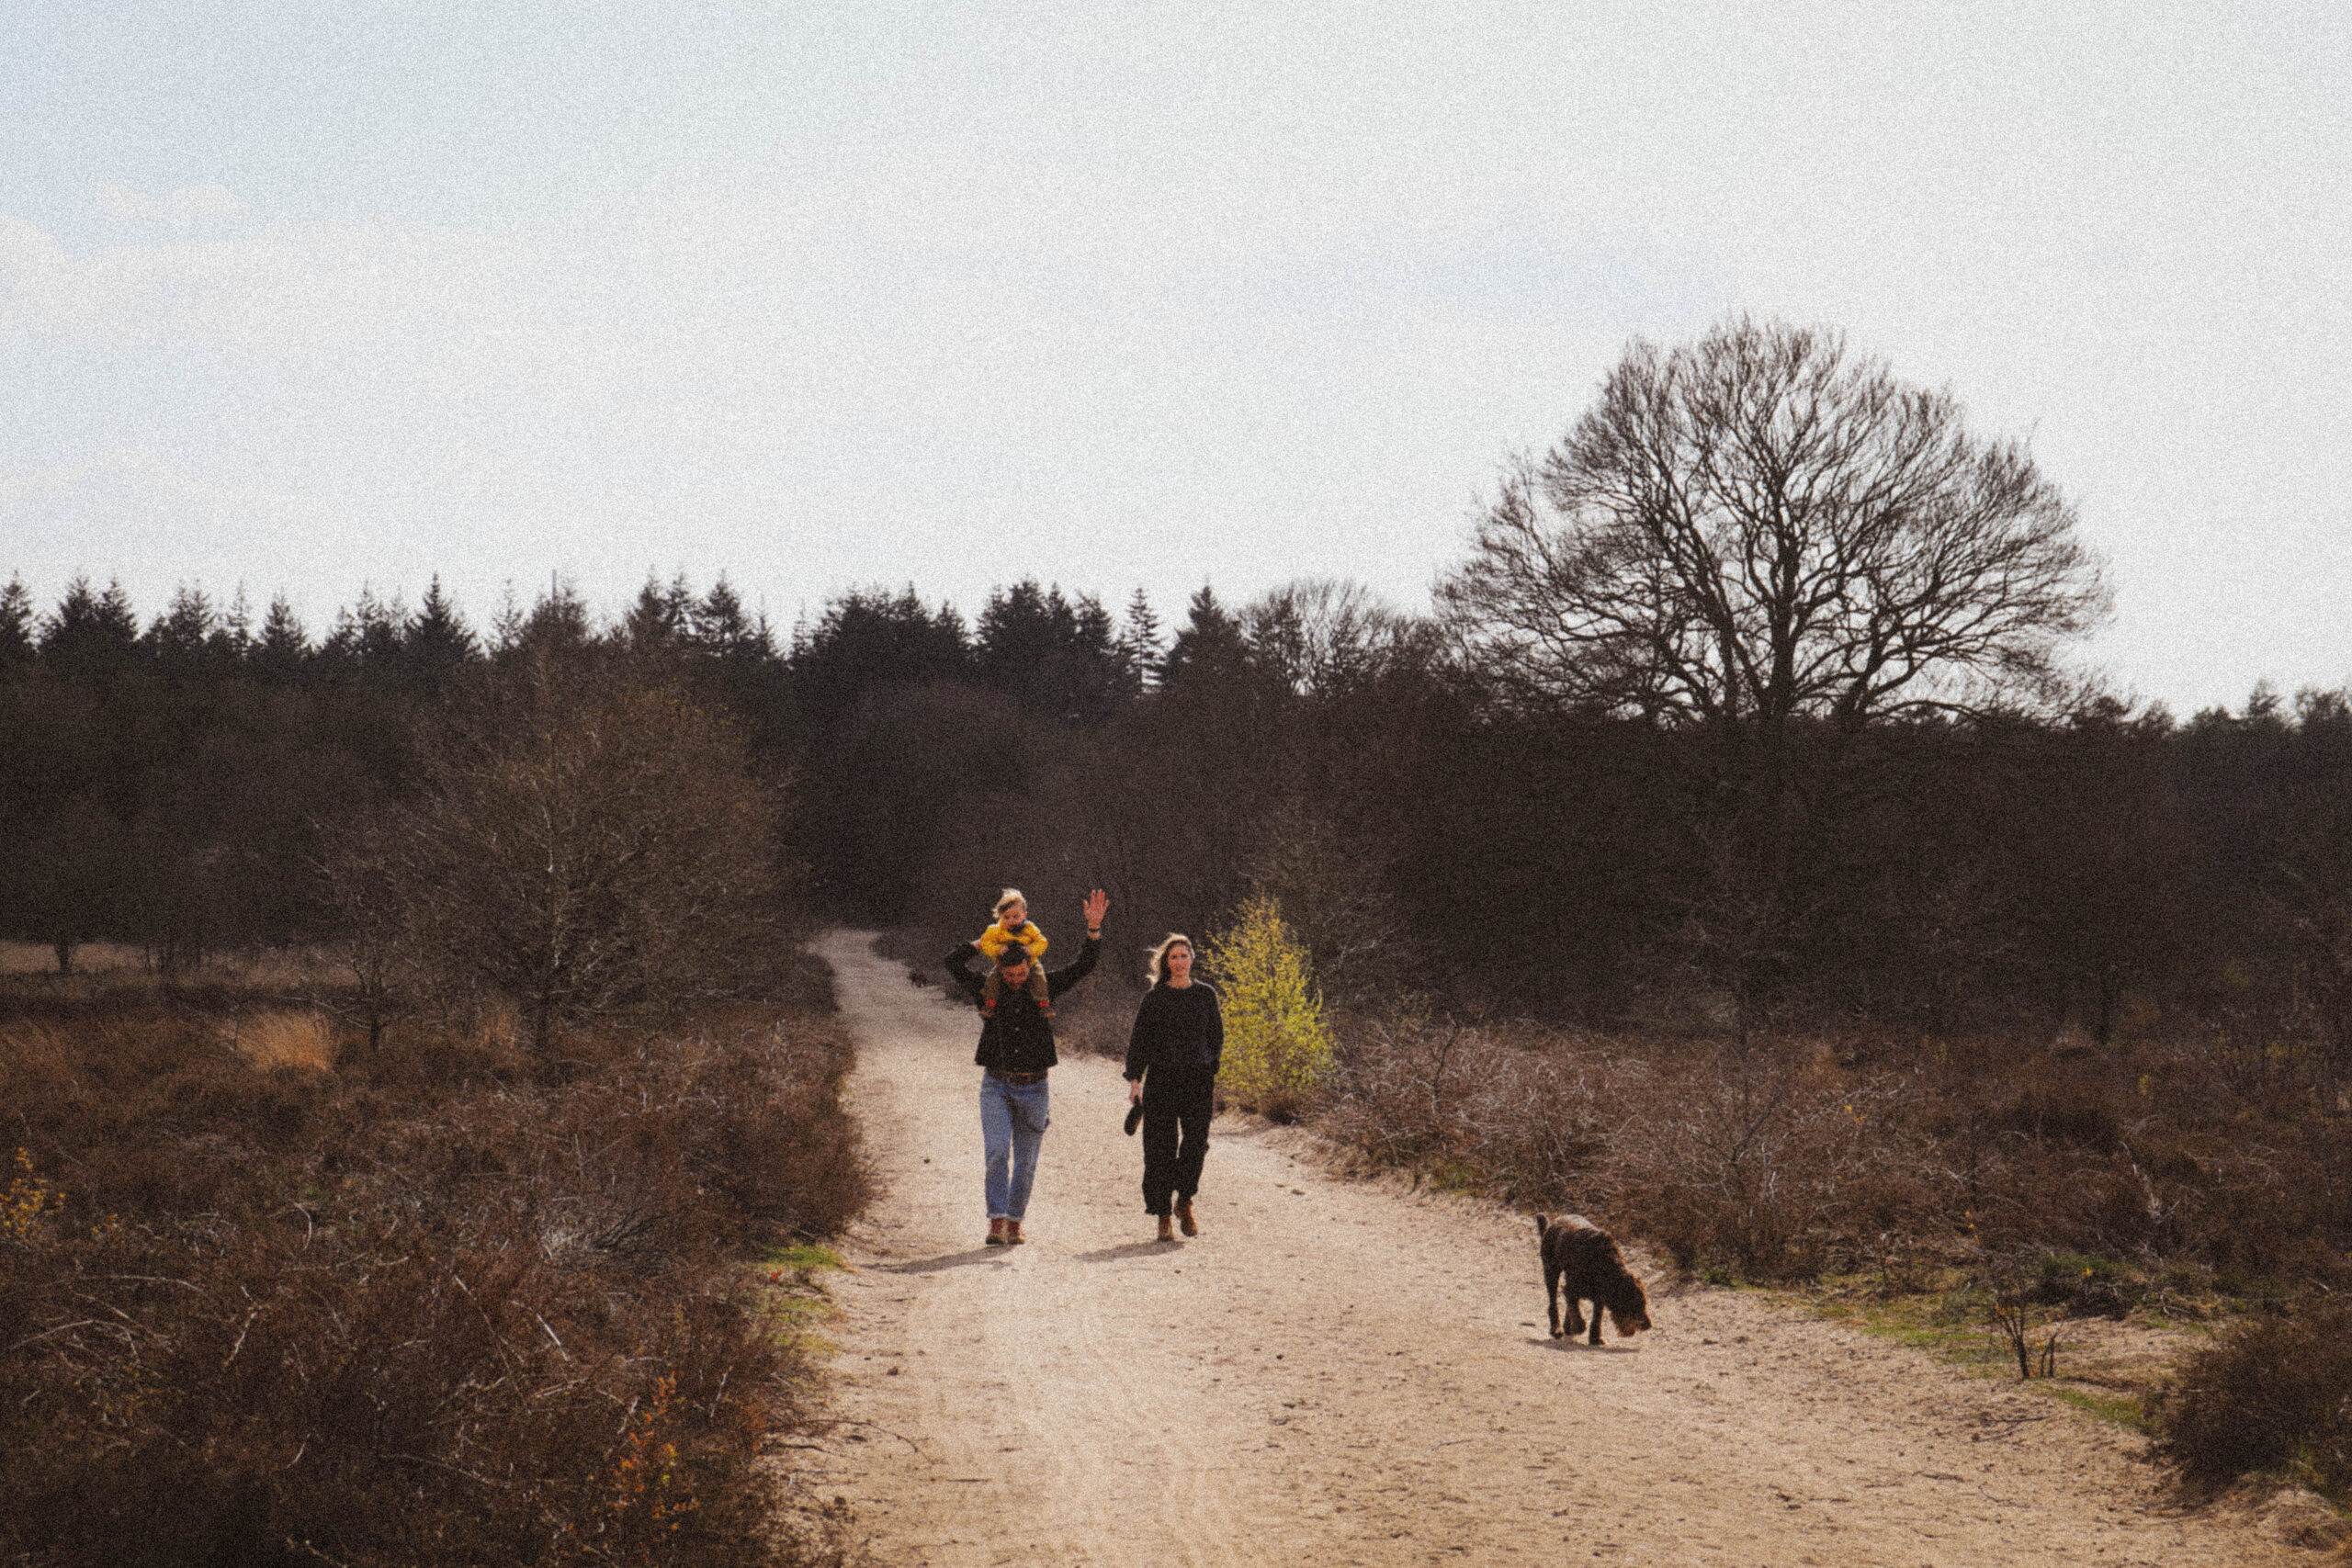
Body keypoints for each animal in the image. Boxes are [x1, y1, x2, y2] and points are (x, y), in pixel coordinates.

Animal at [1533, 1213, 1646, 1354]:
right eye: (1636, 1305)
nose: (1648, 1325)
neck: (1603, 1266)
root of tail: (1552, 1224)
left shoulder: (1599, 1298)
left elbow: (1596, 1318)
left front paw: (1595, 1338)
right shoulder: (1571, 1288)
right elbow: (1576, 1311)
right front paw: (1579, 1327)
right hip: (1551, 1271)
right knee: (1553, 1303)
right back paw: (1557, 1329)